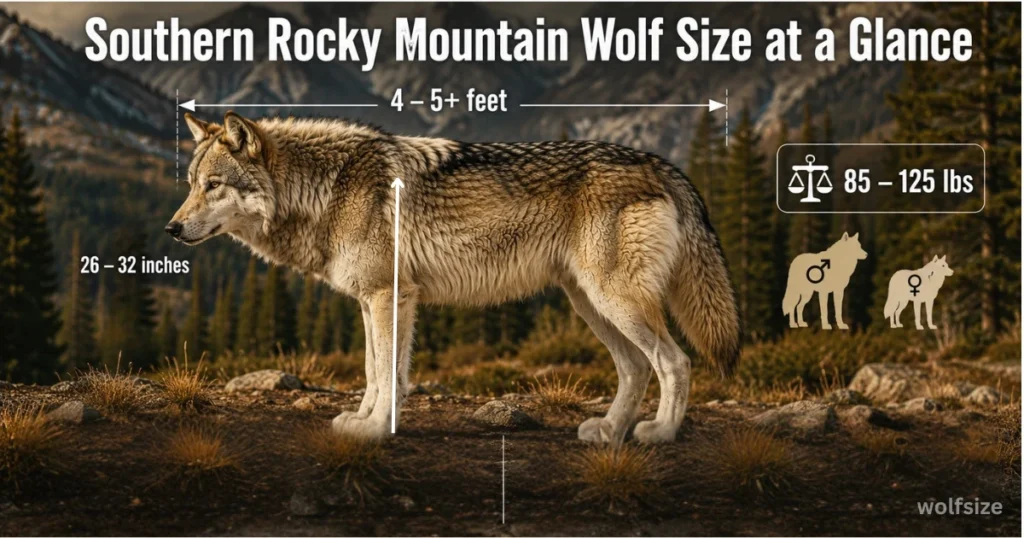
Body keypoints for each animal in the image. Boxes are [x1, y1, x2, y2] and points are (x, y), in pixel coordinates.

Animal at [167, 112, 740, 444]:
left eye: (213, 185)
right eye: (192, 184)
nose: (171, 229)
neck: (323, 189)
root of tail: (663, 165)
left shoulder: (389, 296)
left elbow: (387, 375)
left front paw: (375, 431)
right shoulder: (373, 300)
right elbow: (373, 371)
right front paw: (364, 420)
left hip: (615, 301)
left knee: (675, 361)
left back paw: (659, 433)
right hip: (591, 305)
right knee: (636, 368)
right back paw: (609, 432)